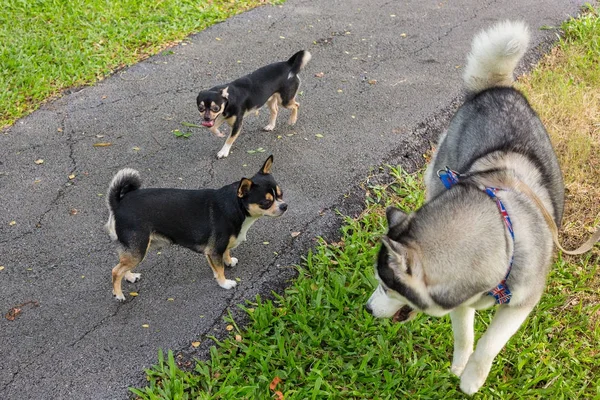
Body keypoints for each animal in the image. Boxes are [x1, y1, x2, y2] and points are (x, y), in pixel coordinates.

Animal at [103, 155, 286, 300]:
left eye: (280, 193)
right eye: (266, 202)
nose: (285, 206)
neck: (236, 205)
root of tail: (118, 203)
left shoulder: (221, 246)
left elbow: (226, 253)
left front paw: (228, 261)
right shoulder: (213, 251)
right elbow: (219, 269)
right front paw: (224, 283)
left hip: (133, 250)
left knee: (123, 265)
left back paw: (130, 276)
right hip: (138, 249)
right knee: (115, 271)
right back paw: (118, 294)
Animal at [364, 21, 564, 394]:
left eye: (386, 286)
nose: (368, 309)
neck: (505, 243)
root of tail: (496, 87)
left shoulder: (521, 304)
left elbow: (490, 343)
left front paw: (472, 378)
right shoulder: (460, 301)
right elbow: (464, 334)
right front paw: (459, 365)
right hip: (440, 173)